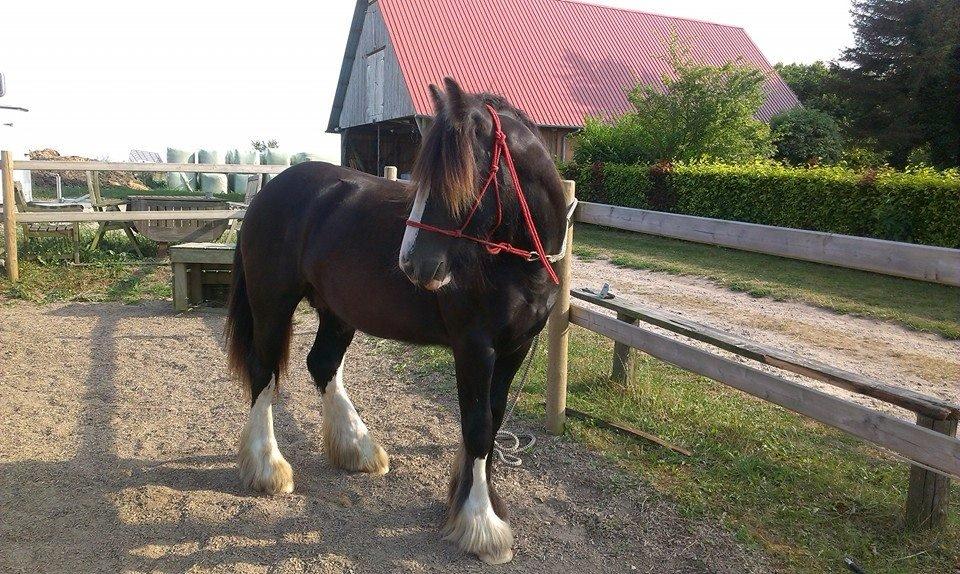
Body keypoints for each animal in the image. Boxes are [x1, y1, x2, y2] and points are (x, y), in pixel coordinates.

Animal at [225, 77, 568, 568]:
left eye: (463, 175)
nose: (413, 264)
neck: (516, 262)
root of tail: (266, 194)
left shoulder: (514, 349)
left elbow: (494, 419)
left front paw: (473, 501)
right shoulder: (474, 348)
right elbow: (478, 426)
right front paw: (481, 524)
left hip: (338, 312)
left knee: (322, 364)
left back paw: (357, 448)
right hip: (272, 303)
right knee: (264, 373)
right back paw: (268, 469)